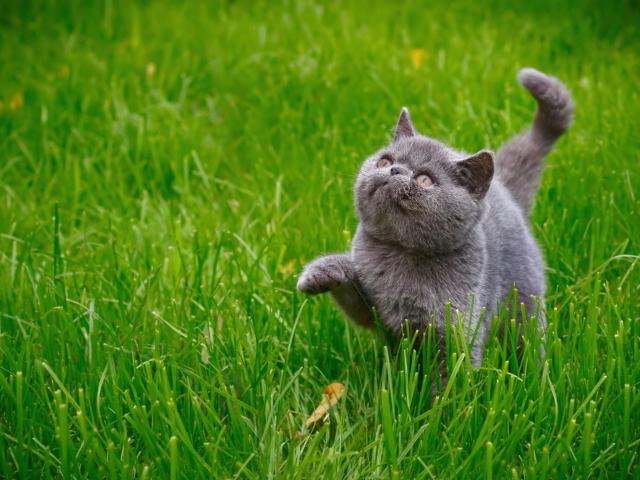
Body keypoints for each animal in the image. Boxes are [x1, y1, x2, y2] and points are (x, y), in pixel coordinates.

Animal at [297, 68, 573, 370]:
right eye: (384, 161)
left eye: (424, 180)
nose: (394, 170)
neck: (400, 255)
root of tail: (505, 189)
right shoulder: (374, 310)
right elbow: (355, 298)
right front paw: (318, 273)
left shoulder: (453, 328)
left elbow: (452, 370)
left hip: (523, 301)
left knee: (527, 340)